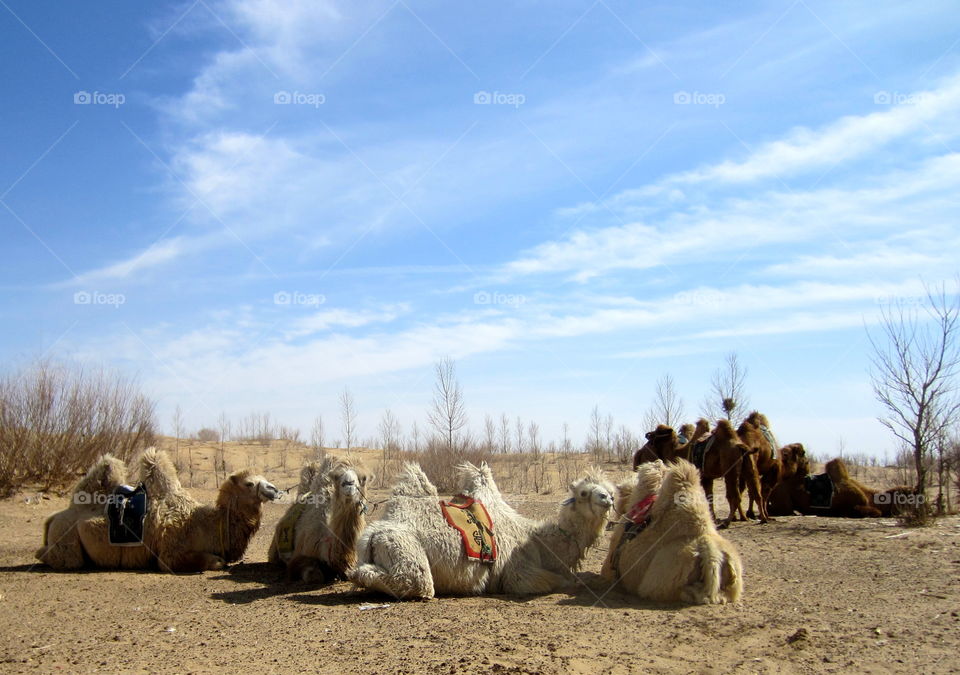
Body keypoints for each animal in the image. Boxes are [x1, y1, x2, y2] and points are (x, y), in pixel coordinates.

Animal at [350, 462, 614, 599]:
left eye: (611, 490)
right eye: (583, 492)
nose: (607, 499)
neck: (538, 542)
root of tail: (372, 534)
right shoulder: (519, 574)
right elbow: (557, 581)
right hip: (404, 547)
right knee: (416, 582)